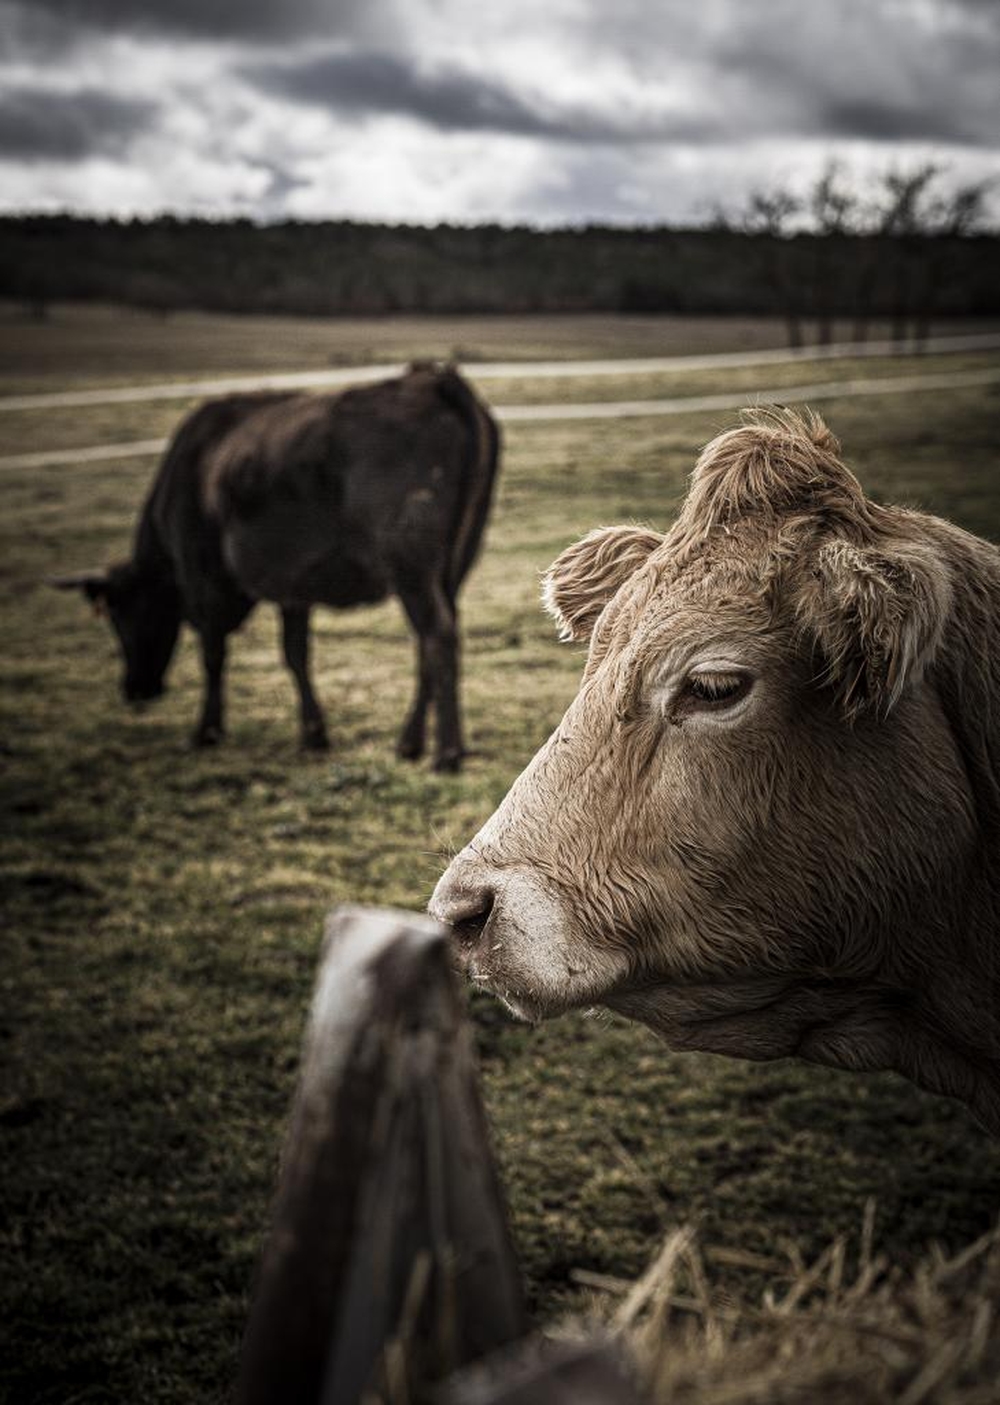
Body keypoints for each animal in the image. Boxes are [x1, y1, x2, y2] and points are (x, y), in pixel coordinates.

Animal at [54, 356, 500, 764]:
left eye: (120, 615)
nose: (134, 689)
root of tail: (434, 380)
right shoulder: (293, 586)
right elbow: (296, 652)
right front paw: (313, 733)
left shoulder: (204, 580)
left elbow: (213, 655)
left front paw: (207, 731)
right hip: (451, 566)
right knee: (431, 639)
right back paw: (411, 743)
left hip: (410, 565)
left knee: (437, 635)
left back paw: (446, 752)